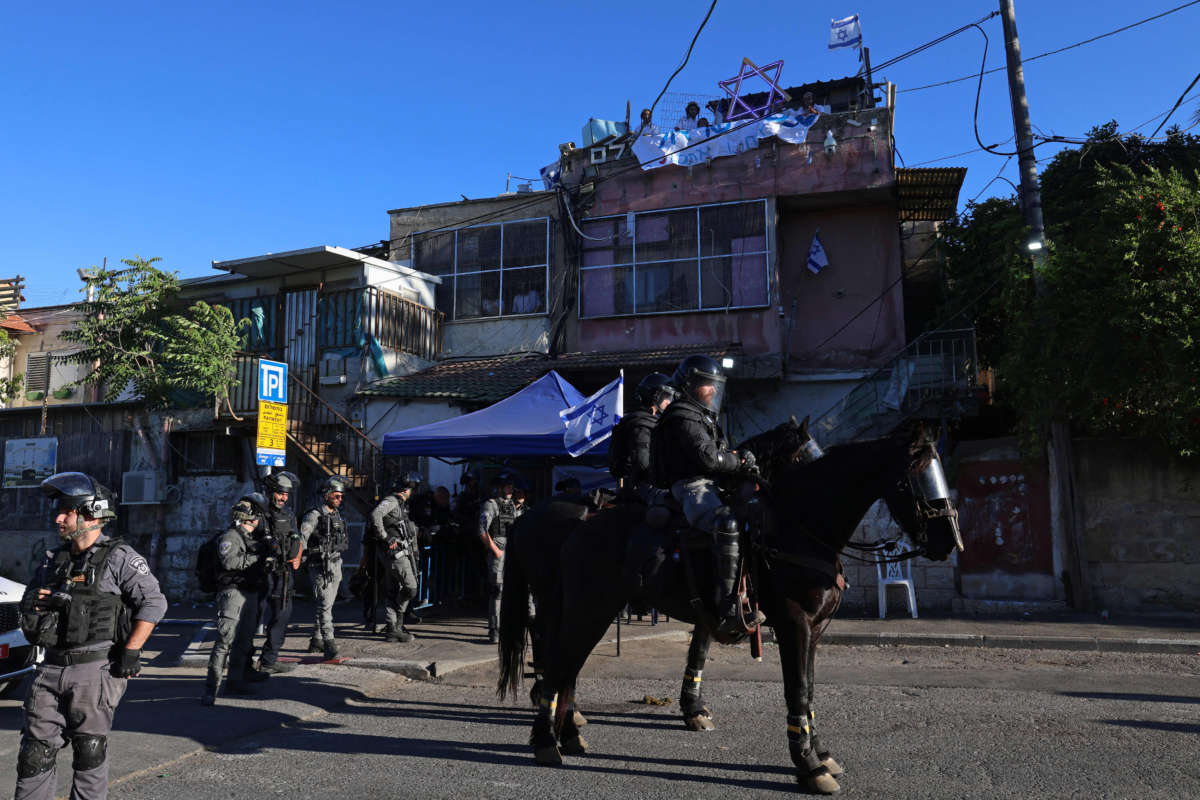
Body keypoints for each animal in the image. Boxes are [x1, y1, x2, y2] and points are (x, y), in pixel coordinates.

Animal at [501, 419, 960, 796]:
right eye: (919, 476)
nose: (949, 541)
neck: (800, 528)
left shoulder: (813, 629)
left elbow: (806, 687)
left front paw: (817, 752)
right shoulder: (794, 625)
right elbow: (797, 688)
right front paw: (808, 766)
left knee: (566, 665)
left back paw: (564, 735)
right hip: (584, 609)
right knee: (559, 662)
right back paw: (547, 740)